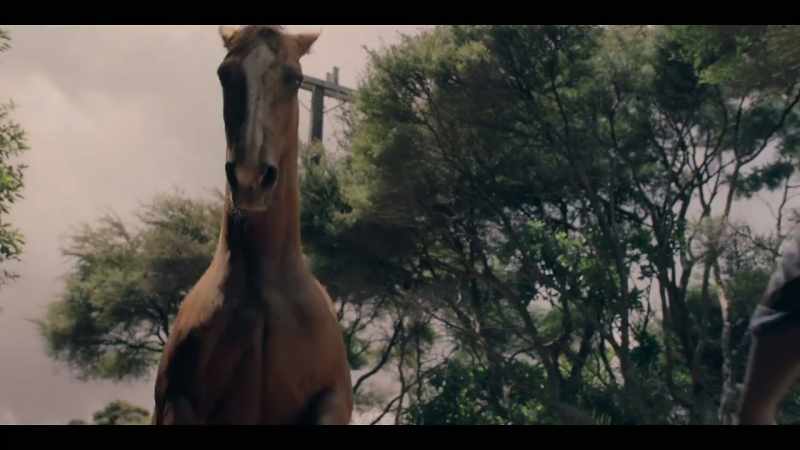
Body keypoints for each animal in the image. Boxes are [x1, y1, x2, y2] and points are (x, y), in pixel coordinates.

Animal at [151, 25, 353, 425]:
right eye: (224, 74)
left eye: (295, 78)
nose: (250, 180)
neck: (261, 296)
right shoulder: (176, 403)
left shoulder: (332, 401)